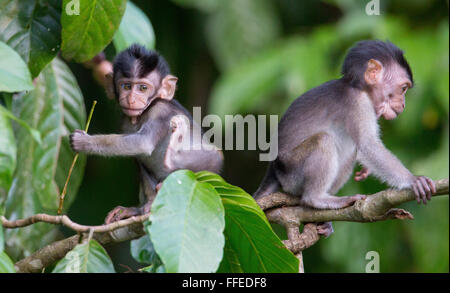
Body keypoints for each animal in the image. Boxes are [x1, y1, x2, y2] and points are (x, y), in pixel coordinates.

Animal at [70, 44, 223, 222]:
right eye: (126, 86)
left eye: (143, 88)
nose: (131, 99)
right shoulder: (124, 122)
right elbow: (137, 153)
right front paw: (140, 208)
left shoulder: (160, 111)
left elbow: (143, 142)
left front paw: (82, 142)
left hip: (210, 166)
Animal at [255, 40, 438, 235]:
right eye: (403, 88)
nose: (403, 104)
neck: (357, 87)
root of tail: (274, 169)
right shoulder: (358, 103)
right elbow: (368, 145)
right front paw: (412, 180)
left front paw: (366, 170)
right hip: (292, 172)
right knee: (324, 141)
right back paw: (316, 199)